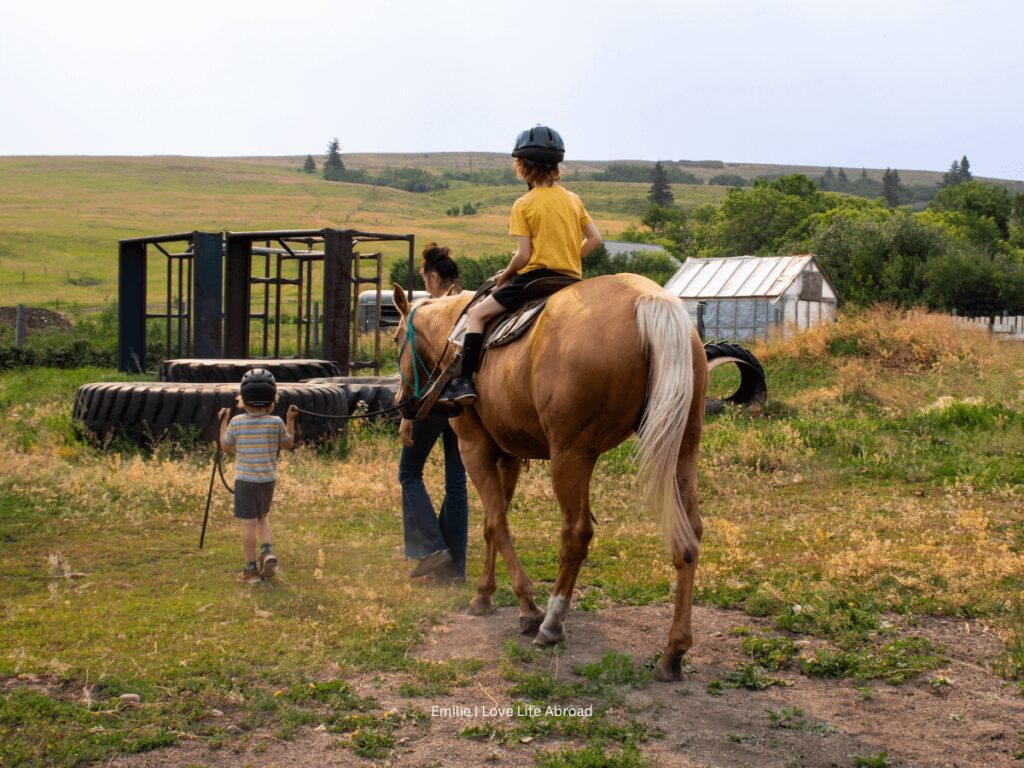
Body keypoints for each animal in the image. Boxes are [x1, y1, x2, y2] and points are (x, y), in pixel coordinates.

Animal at [395, 274, 708, 679]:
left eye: (396, 340)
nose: (403, 406)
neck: (456, 338)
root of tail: (649, 299)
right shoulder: (508, 455)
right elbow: (492, 523)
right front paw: (483, 594)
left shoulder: (473, 447)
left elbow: (496, 524)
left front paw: (527, 607)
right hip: (683, 446)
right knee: (689, 537)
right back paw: (674, 652)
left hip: (570, 456)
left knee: (576, 533)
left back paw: (552, 623)